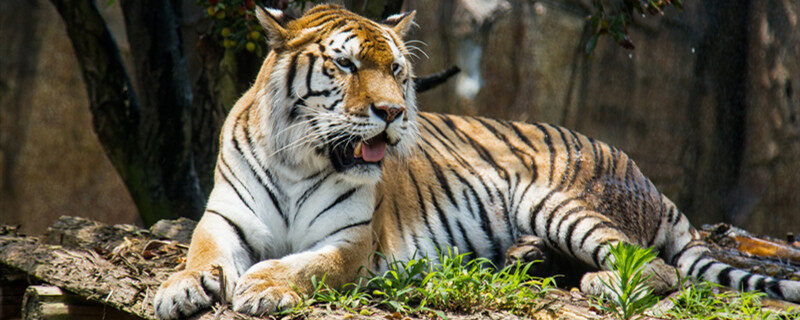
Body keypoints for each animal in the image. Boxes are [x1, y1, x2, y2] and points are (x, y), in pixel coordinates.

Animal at [152, 3, 800, 318]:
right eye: (344, 64)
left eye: (395, 69)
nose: (392, 112)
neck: (301, 161)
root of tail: (648, 178)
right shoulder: (225, 219)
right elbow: (198, 252)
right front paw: (178, 290)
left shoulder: (351, 241)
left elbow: (307, 266)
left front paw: (263, 287)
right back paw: (525, 259)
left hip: (557, 201)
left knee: (654, 267)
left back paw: (598, 282)